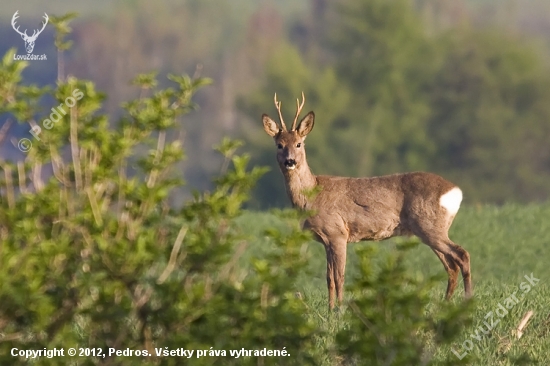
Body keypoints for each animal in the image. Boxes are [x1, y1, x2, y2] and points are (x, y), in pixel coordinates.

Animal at [264, 92, 474, 308]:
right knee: (451, 265)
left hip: (430, 226)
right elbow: (329, 278)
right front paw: (330, 309)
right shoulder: (326, 239)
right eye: (279, 145)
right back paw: (446, 303)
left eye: (299, 143)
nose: (290, 161)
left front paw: (340, 309)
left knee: (462, 255)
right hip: (429, 230)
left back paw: (467, 300)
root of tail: (455, 191)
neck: (311, 195)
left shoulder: (337, 232)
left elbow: (339, 276)